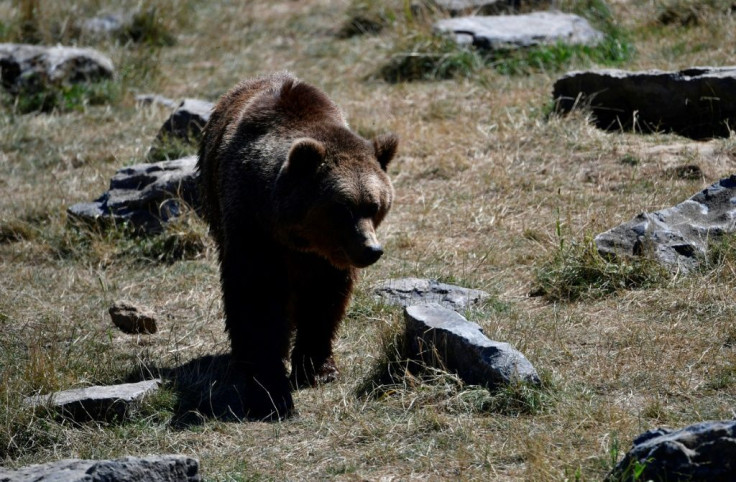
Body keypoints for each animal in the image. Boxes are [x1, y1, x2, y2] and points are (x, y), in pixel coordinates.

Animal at [197, 72, 396, 422]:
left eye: (374, 205)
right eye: (342, 208)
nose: (371, 250)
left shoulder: (327, 259)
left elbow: (323, 301)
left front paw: (317, 367)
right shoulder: (252, 228)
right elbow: (257, 301)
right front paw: (268, 390)